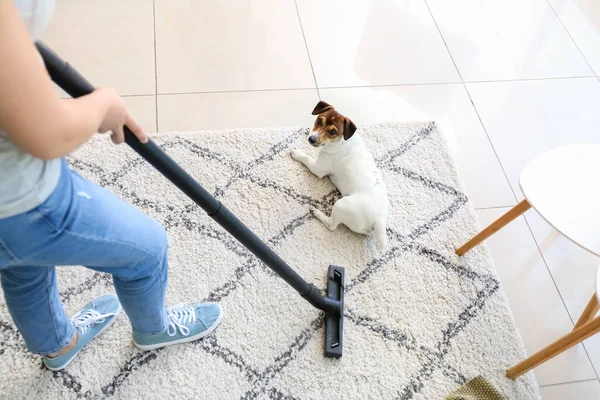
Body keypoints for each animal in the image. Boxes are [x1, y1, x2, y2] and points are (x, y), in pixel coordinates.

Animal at [290, 101, 390, 250]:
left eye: (332, 132)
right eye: (319, 120)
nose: (312, 139)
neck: (341, 141)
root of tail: (379, 220)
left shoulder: (319, 168)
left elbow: (306, 158)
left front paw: (297, 153)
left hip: (342, 205)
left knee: (331, 225)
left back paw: (318, 213)